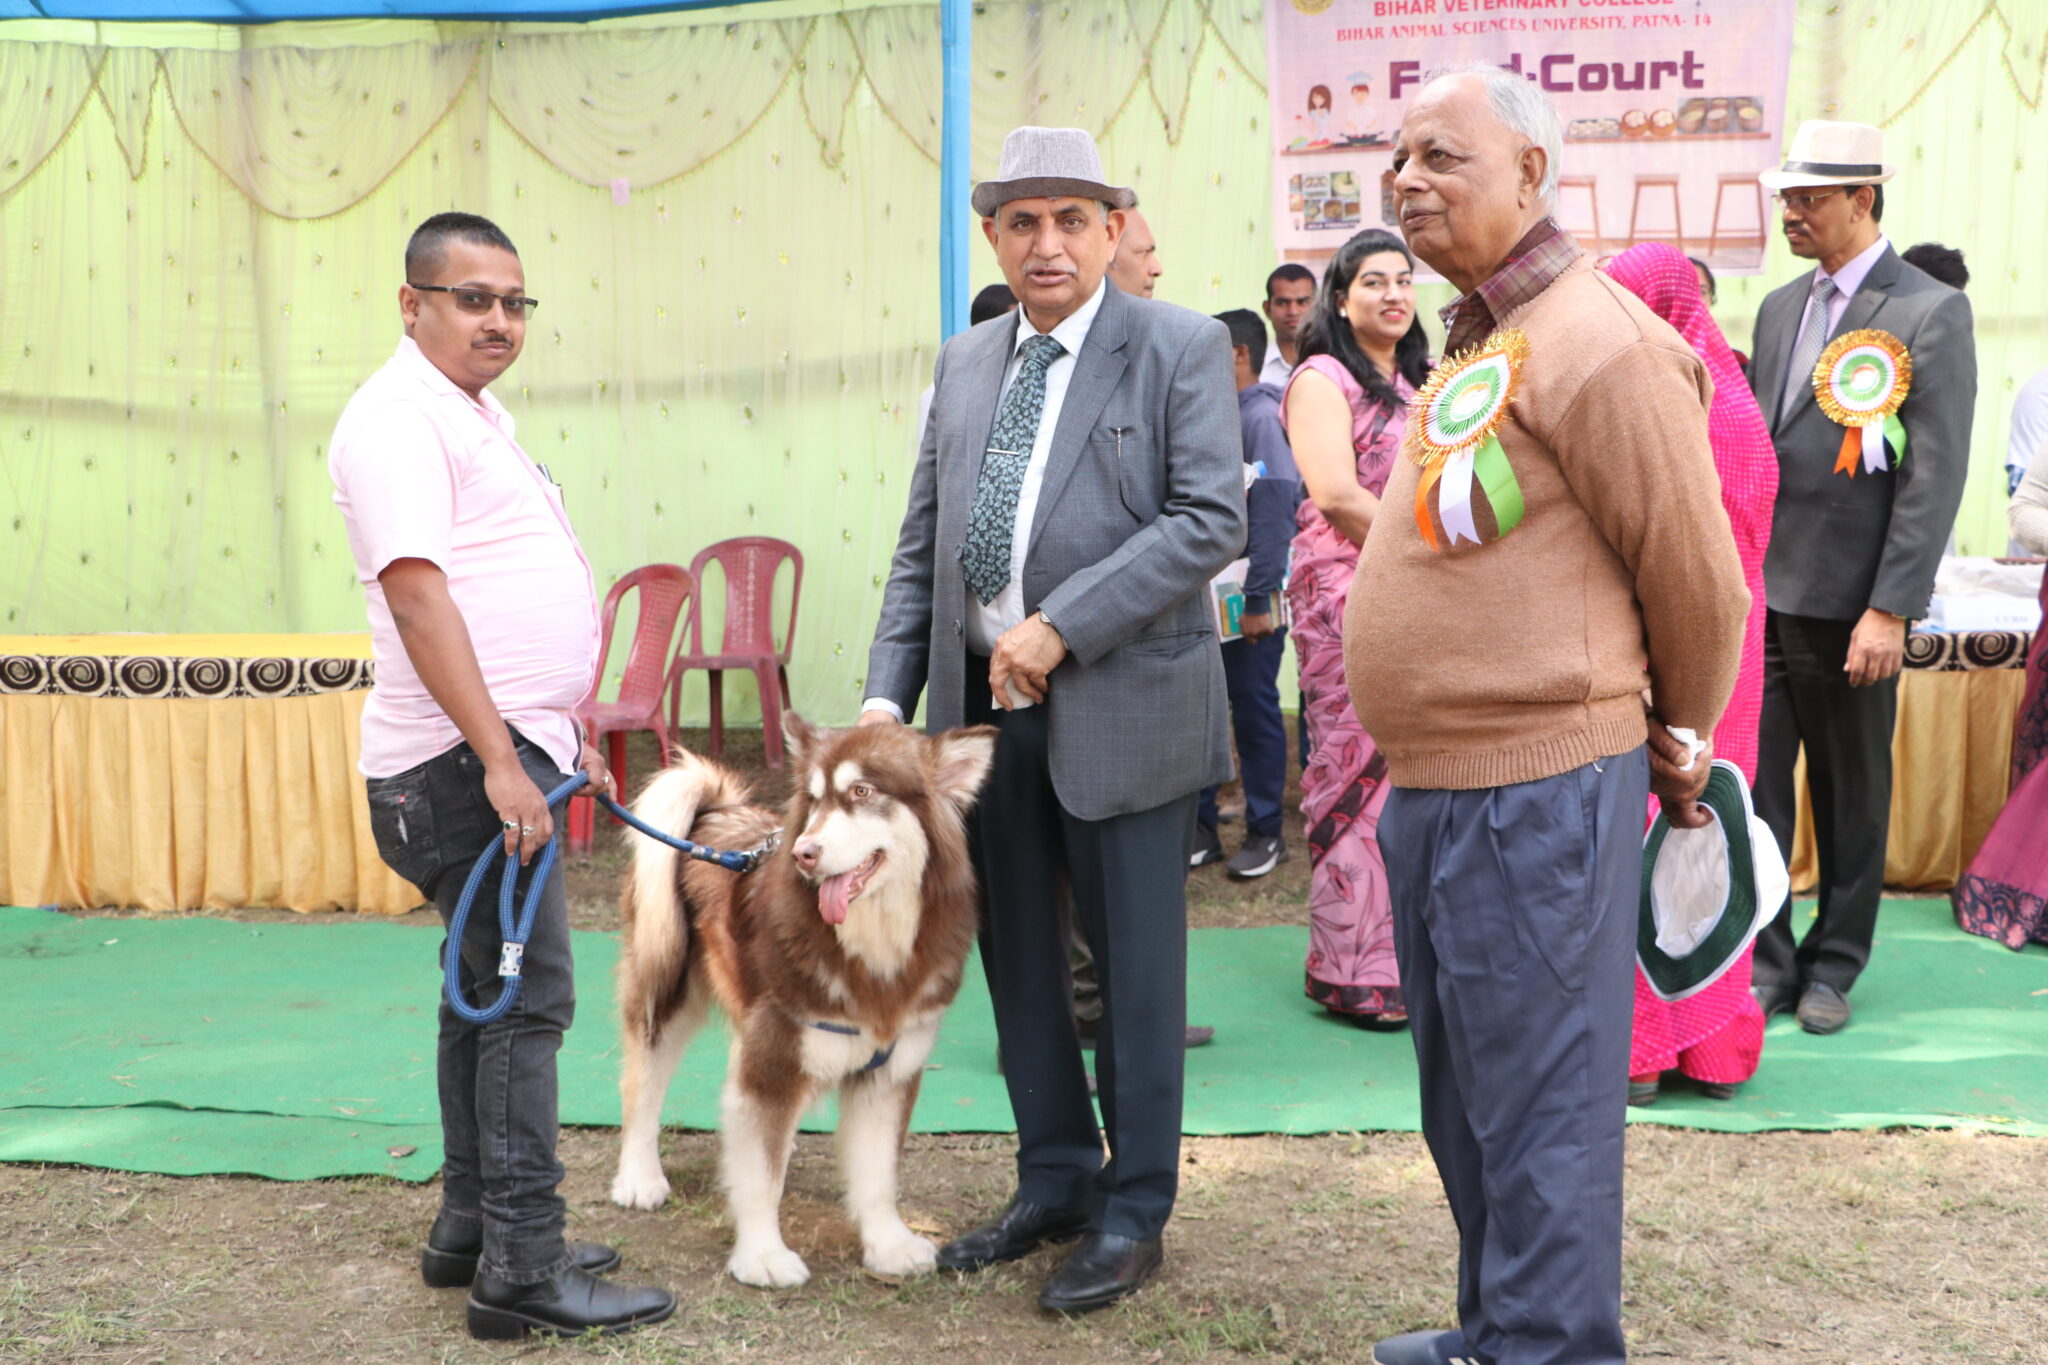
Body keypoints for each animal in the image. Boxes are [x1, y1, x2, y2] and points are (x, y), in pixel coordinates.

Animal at [608, 714, 996, 1288]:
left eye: (862, 792)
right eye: (813, 800)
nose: (803, 854)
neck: (871, 946)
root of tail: (717, 811)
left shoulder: (892, 1070)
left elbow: (879, 1172)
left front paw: (888, 1244)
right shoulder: (772, 1056)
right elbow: (760, 1175)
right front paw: (763, 1256)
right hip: (666, 987)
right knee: (642, 1086)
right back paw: (639, 1177)